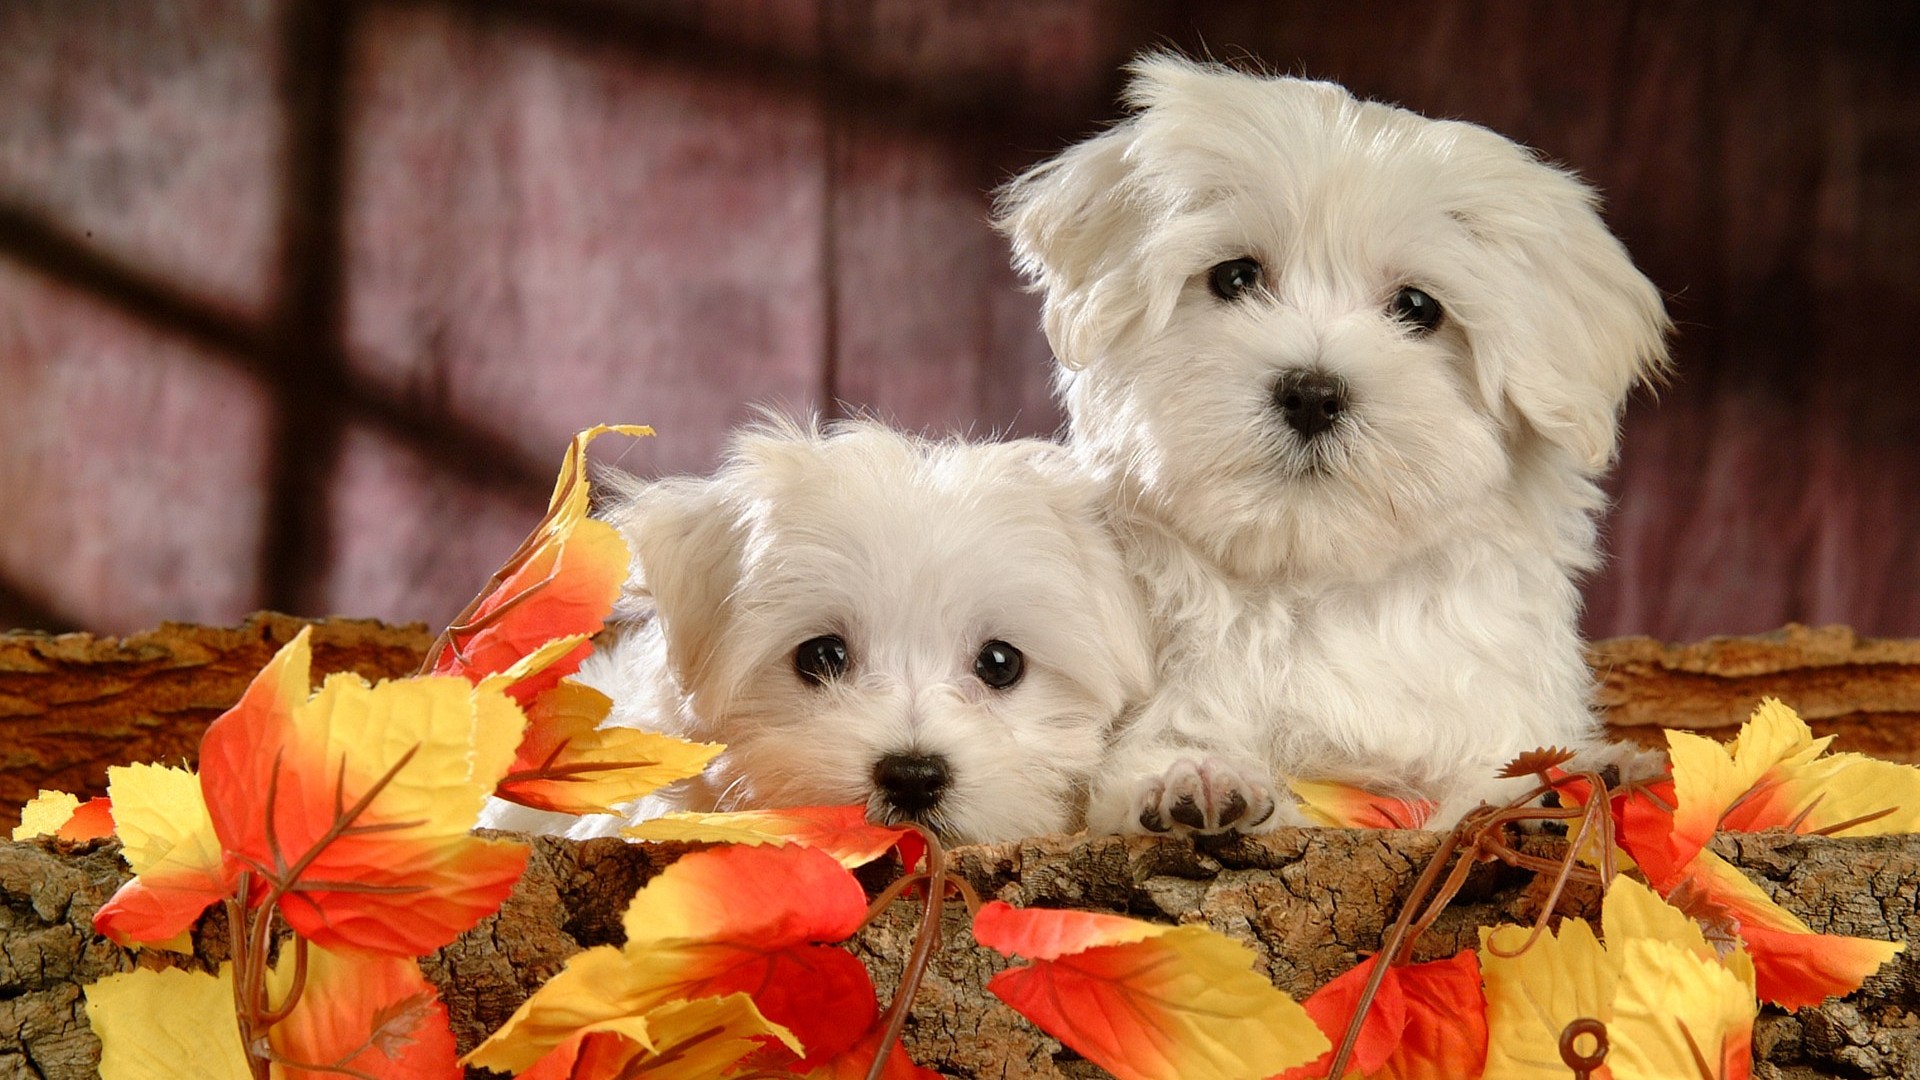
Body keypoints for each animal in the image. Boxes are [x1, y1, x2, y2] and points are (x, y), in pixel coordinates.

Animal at [998, 54, 1674, 834]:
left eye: (1417, 307)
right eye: (1235, 276)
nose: (1312, 394)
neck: (1310, 585)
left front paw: (1556, 785)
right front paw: (1192, 778)